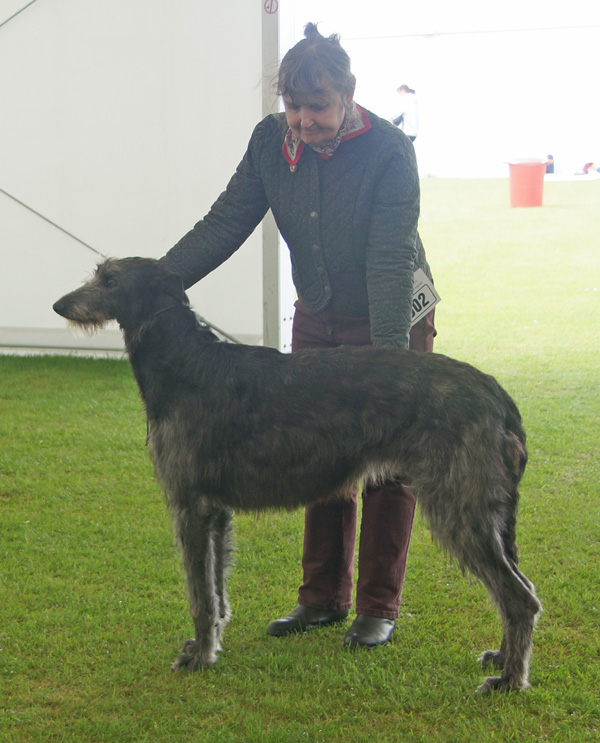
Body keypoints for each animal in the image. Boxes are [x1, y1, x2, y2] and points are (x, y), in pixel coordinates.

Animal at [55, 258, 544, 696]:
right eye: (98, 272)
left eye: (110, 279)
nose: (60, 304)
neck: (182, 361)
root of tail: (498, 396)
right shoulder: (215, 510)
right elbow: (216, 589)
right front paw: (208, 644)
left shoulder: (190, 507)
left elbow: (199, 596)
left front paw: (199, 657)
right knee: (518, 588)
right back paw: (502, 658)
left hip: (459, 506)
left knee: (519, 597)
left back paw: (509, 680)